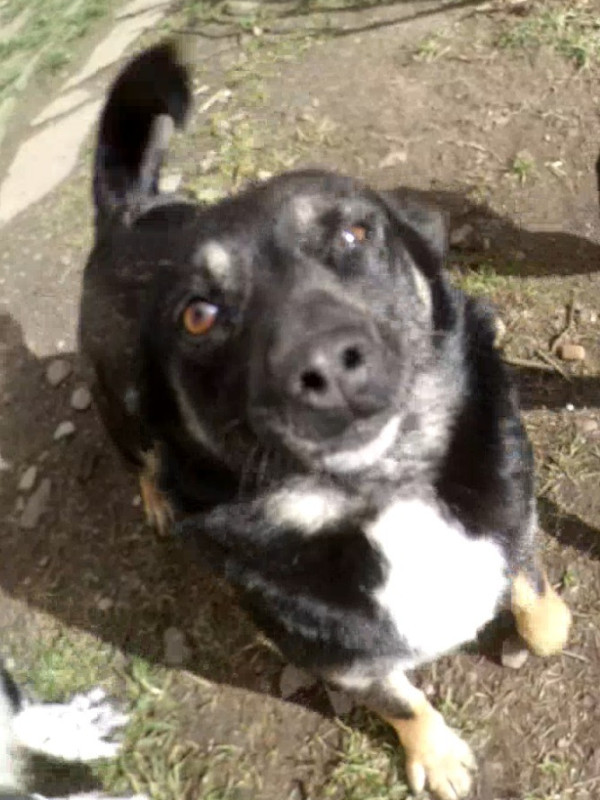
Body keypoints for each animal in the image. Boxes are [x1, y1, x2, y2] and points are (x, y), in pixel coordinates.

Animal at [79, 41, 572, 800]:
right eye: (199, 314)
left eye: (354, 231)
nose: (327, 366)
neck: (387, 494)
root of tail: (126, 213)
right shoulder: (338, 659)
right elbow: (402, 701)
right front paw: (437, 757)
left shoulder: (511, 521)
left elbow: (535, 600)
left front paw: (549, 623)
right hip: (120, 408)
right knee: (141, 457)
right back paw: (156, 499)